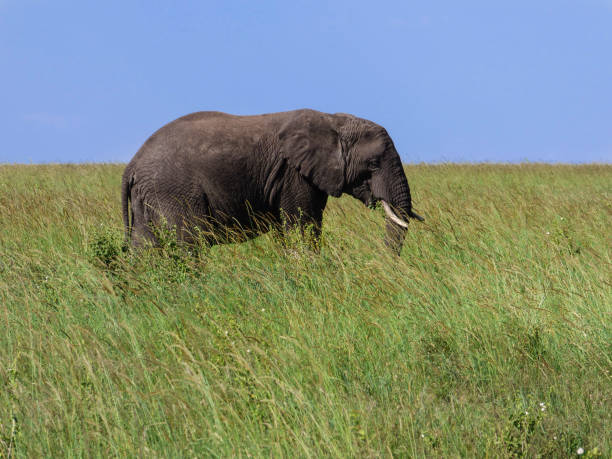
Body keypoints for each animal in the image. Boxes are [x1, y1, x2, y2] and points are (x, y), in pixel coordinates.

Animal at [122, 109, 424, 255]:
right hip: (173, 192)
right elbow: (303, 226)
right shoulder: (294, 174)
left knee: (144, 249)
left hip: (149, 196)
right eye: (373, 164)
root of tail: (132, 165)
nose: (382, 260)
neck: (334, 121)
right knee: (189, 244)